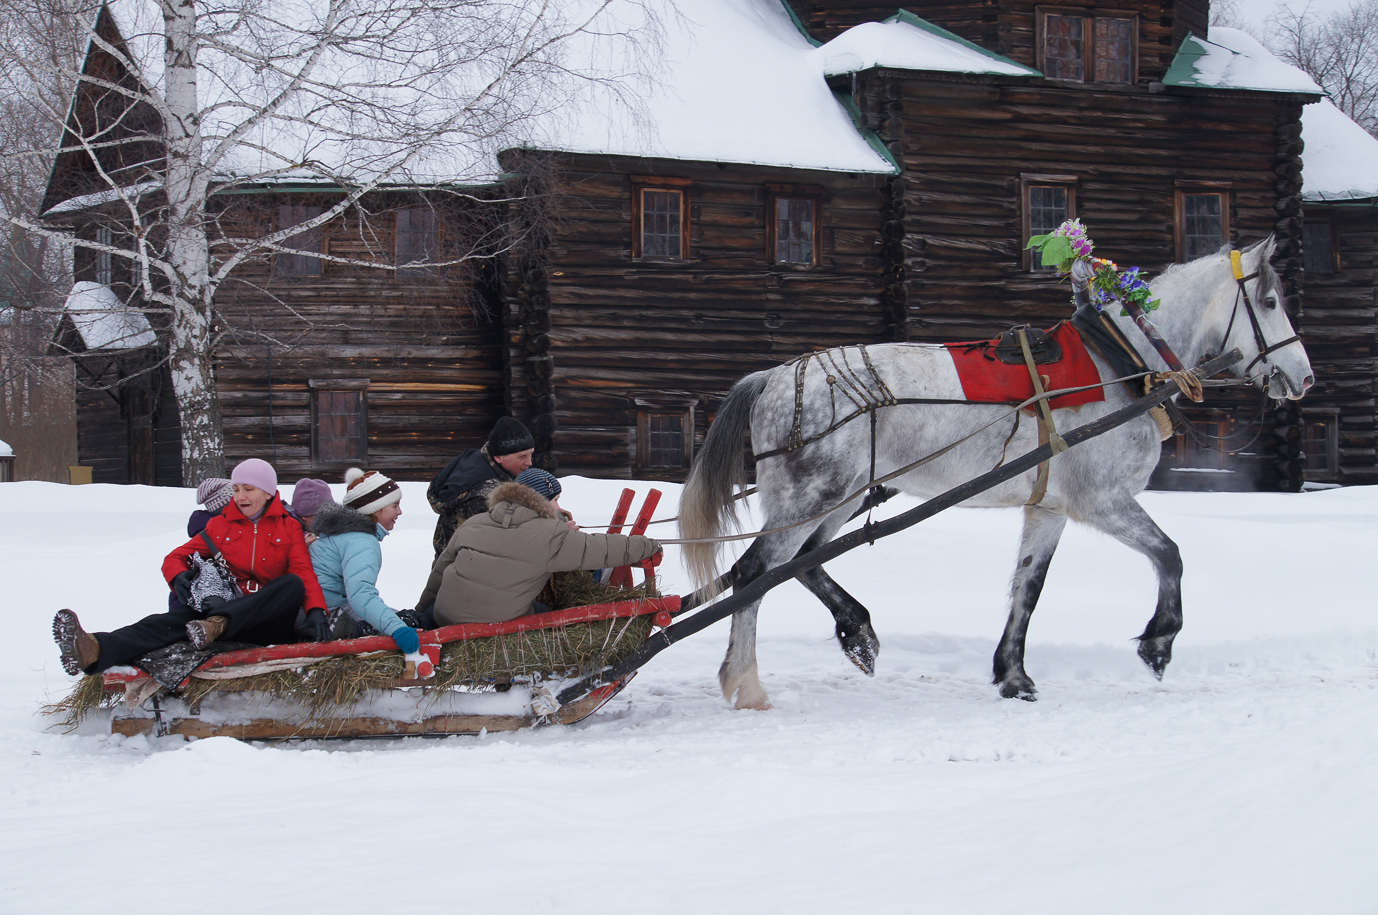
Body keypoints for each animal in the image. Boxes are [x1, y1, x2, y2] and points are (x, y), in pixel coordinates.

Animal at [677, 235, 1311, 705]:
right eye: (1272, 302)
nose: (1304, 377)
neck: (1118, 365)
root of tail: (775, 376)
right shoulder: (1103, 500)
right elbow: (1170, 554)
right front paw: (1159, 640)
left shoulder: (1049, 508)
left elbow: (1028, 587)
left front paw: (1012, 673)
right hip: (812, 497)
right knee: (754, 574)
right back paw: (746, 683)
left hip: (842, 499)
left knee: (800, 563)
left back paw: (857, 632)